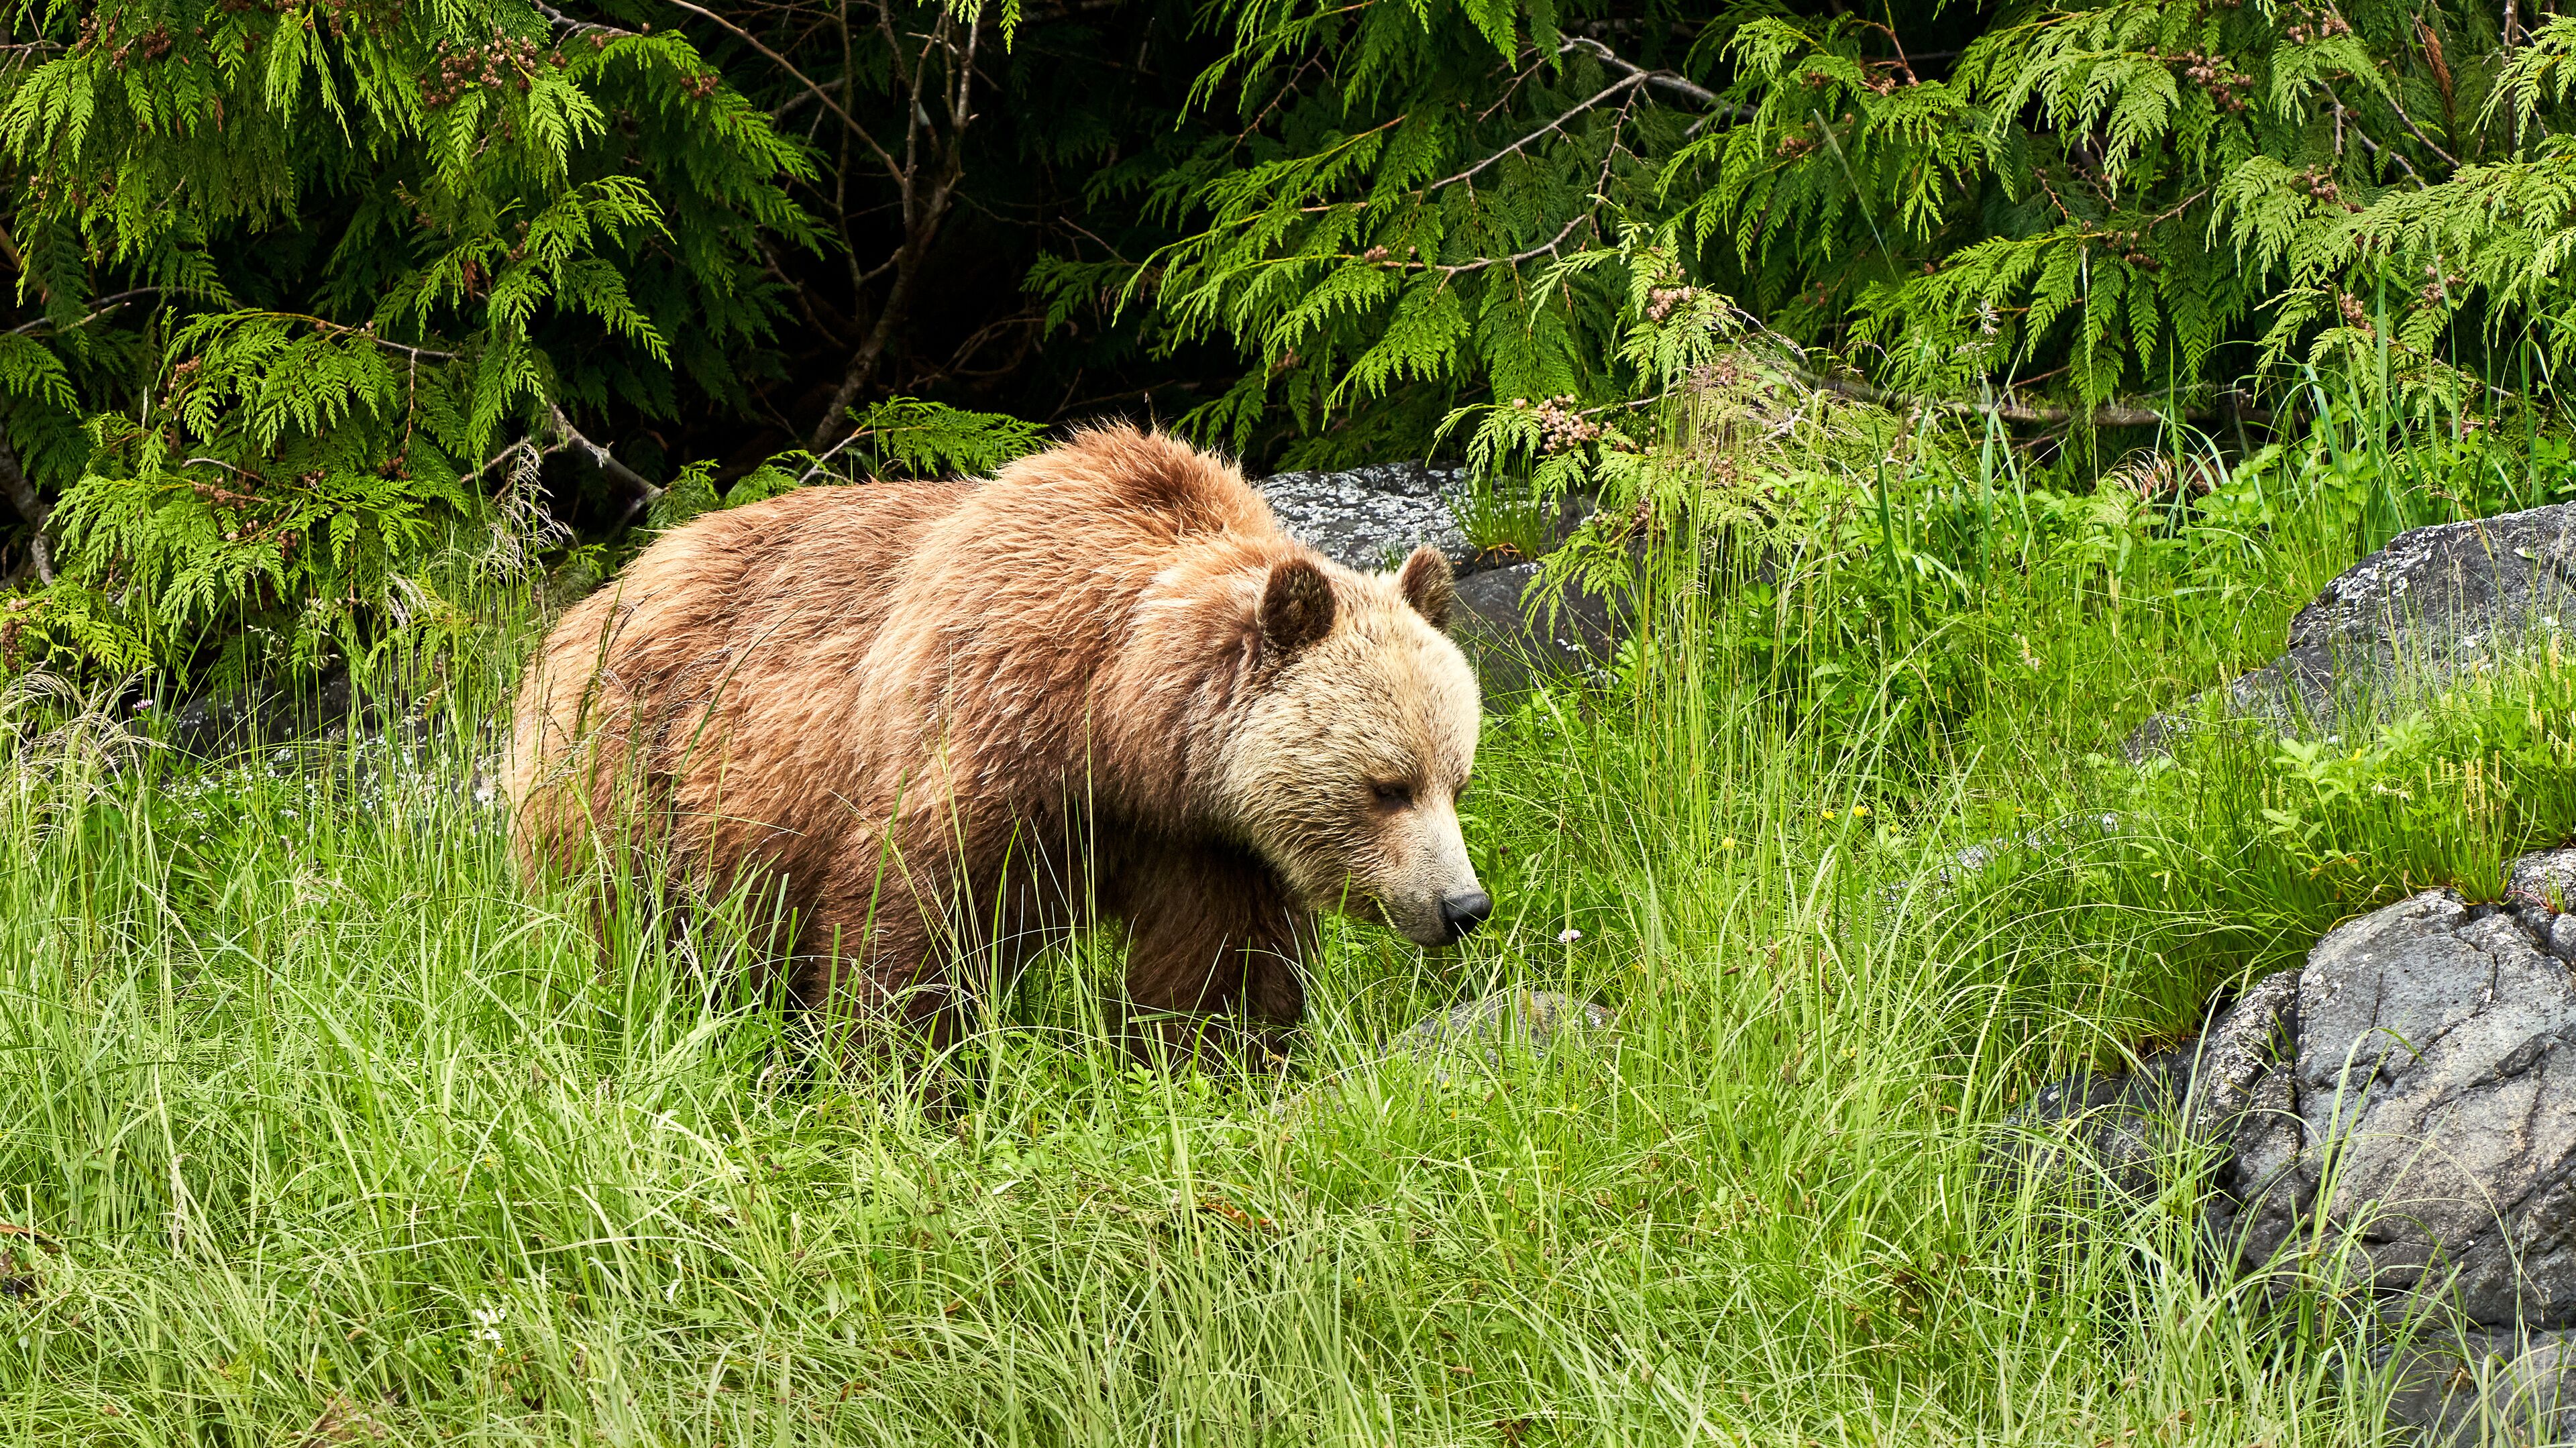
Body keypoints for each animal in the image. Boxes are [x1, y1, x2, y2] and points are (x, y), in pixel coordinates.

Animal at [506, 424, 1490, 1062]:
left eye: (1458, 778)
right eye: (1388, 784)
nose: (1464, 904)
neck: (1119, 725)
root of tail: (591, 602)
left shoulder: (1209, 840)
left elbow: (1218, 971)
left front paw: (1215, 1064)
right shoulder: (988, 729)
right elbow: (913, 920)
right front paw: (903, 1071)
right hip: (641, 766)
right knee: (643, 931)